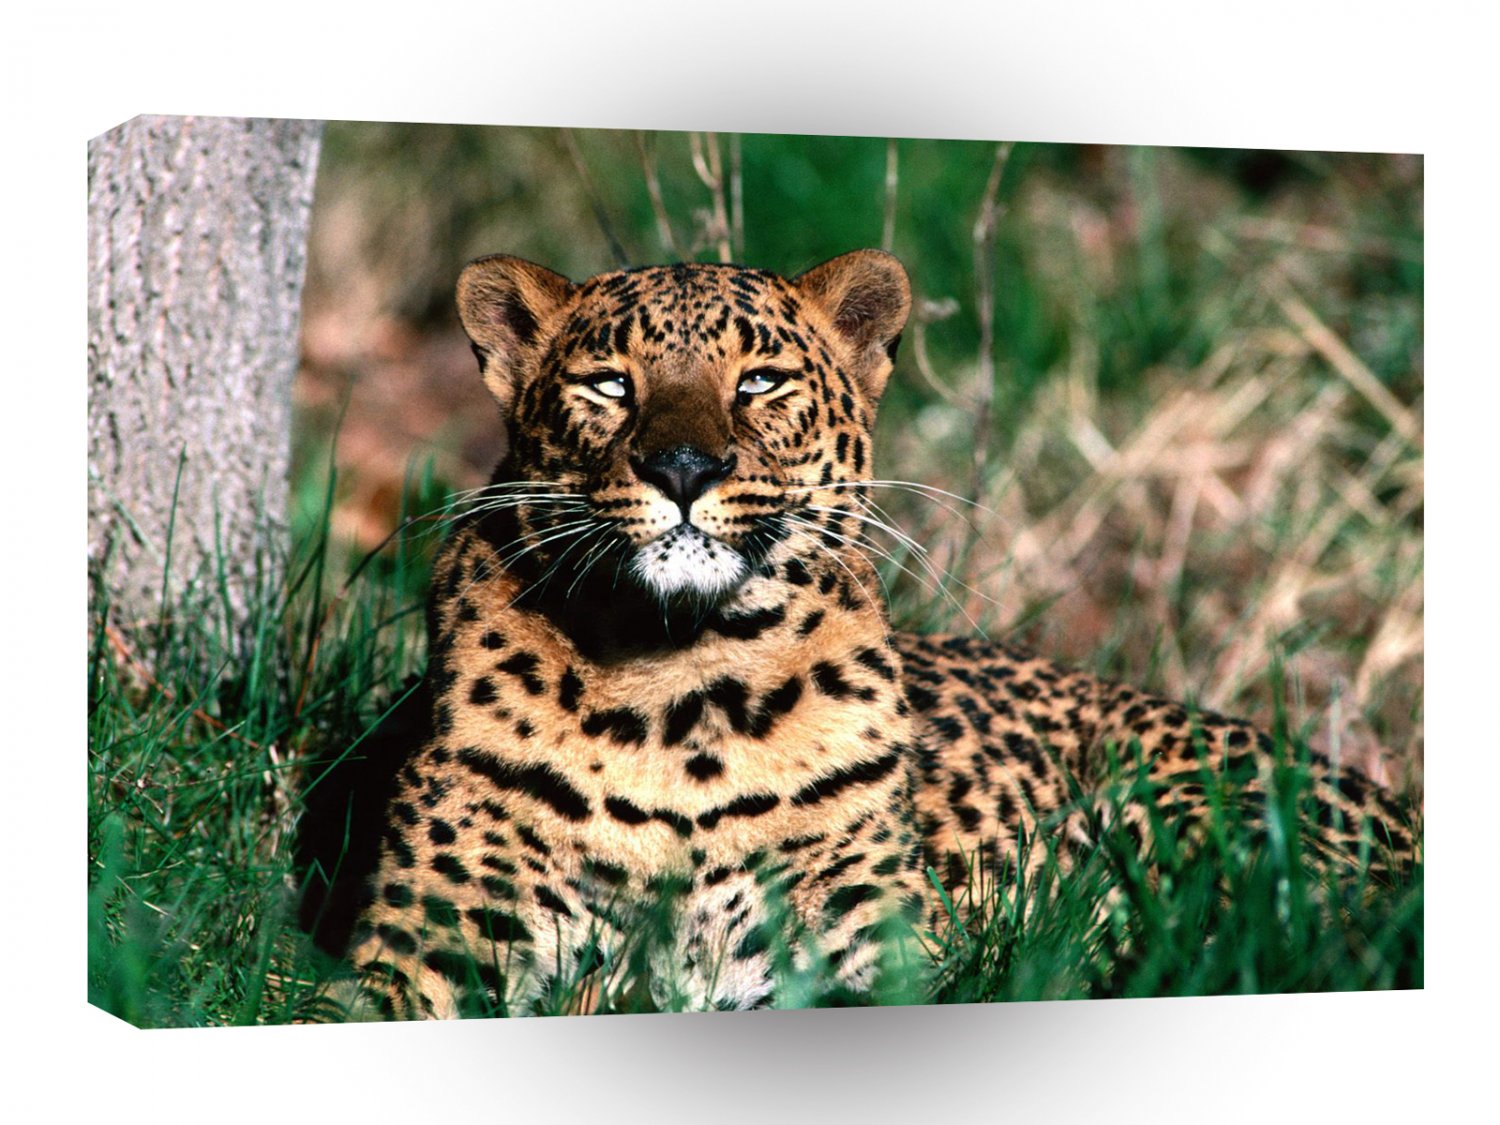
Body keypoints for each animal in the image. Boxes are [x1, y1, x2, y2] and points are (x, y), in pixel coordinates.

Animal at [296, 249, 1416, 1019]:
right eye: (609, 383)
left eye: (760, 381)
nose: (685, 467)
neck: (675, 695)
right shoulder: (422, 953)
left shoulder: (875, 961)